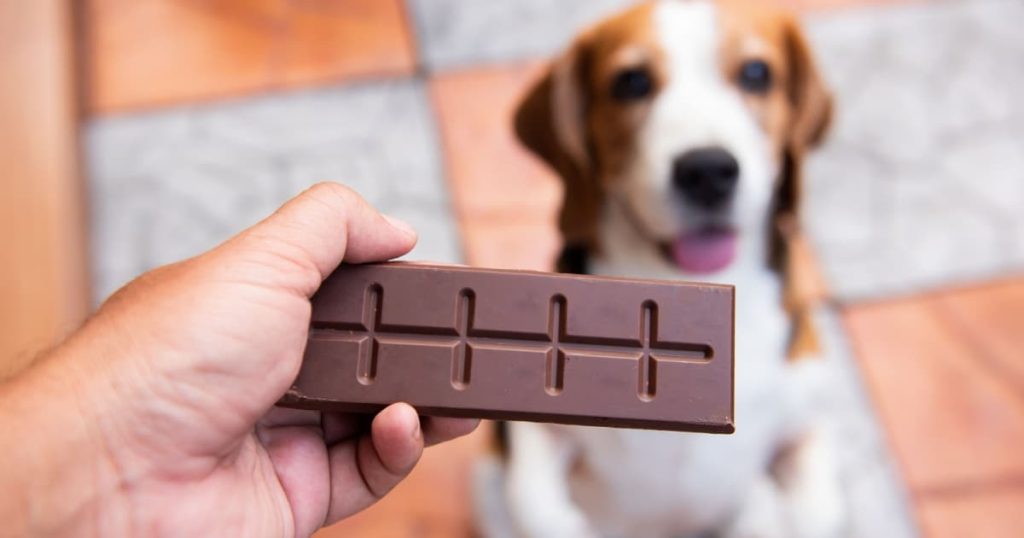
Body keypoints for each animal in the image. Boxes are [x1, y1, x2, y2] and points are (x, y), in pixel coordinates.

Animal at [475, 1, 843, 536]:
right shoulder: (531, 430)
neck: (687, 287)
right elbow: (535, 503)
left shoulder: (805, 419)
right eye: (631, 82)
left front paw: (764, 511)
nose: (707, 170)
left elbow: (817, 512)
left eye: (757, 74)